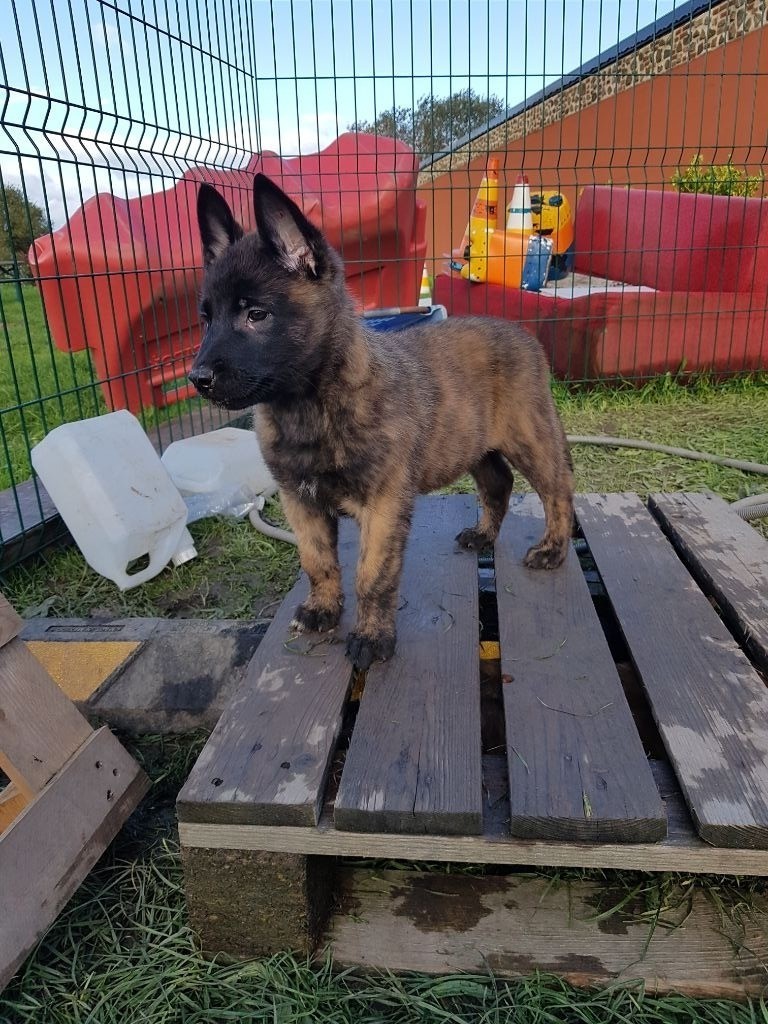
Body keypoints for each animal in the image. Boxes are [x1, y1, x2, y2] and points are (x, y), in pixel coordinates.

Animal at [190, 174, 574, 670]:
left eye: (256, 314)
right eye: (206, 318)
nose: (197, 378)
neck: (311, 406)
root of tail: (522, 333)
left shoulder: (384, 505)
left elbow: (372, 576)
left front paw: (372, 637)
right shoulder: (300, 501)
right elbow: (318, 562)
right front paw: (323, 610)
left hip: (529, 434)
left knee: (557, 490)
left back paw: (552, 550)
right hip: (473, 443)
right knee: (498, 484)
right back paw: (483, 535)